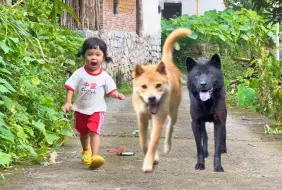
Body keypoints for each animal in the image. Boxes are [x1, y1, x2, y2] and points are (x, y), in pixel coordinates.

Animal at [132, 27, 192, 172]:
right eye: (144, 86)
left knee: (171, 126)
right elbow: (144, 142)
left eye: (158, 85)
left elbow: (153, 143)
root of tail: (167, 63)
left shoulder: (159, 119)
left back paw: (167, 146)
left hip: (173, 111)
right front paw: (152, 158)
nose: (152, 98)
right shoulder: (141, 119)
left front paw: (148, 163)